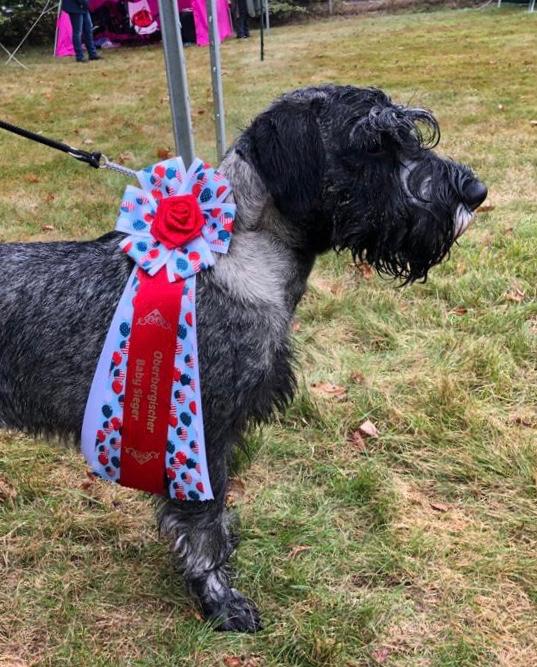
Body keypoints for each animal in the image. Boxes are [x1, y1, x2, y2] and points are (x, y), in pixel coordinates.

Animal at [0, 86, 486, 636]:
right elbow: (204, 527)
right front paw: (220, 599)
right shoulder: (201, 437)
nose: (475, 192)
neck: (242, 257)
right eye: (372, 144)